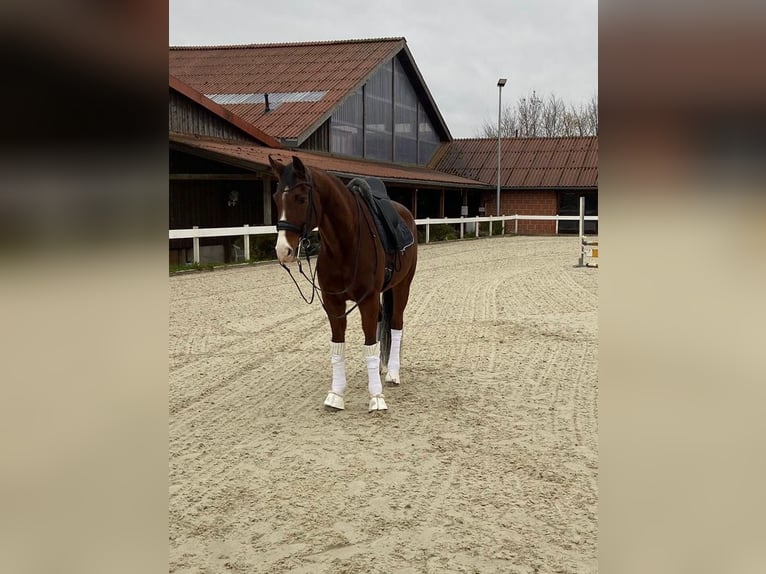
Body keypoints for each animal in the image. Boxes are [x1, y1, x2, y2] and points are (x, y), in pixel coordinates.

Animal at [268, 153, 416, 414]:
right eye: (276, 199)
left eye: (301, 198)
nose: (283, 250)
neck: (345, 243)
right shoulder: (333, 301)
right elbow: (338, 346)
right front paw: (336, 394)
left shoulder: (367, 299)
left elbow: (369, 345)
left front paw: (376, 397)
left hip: (402, 287)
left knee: (396, 325)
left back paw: (392, 374)